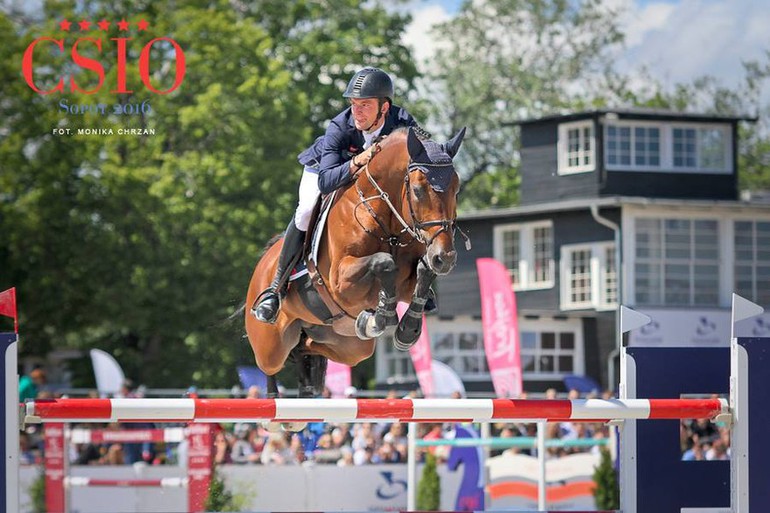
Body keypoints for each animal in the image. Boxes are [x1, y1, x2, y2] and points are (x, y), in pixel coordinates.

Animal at [243, 126, 464, 402]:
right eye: (417, 189)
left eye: (457, 188)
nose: (445, 258)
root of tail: (262, 265)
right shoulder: (341, 283)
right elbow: (384, 261)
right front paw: (379, 318)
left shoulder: (407, 282)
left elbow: (423, 270)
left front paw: (405, 329)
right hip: (270, 344)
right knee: (269, 365)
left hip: (350, 345)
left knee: (307, 346)